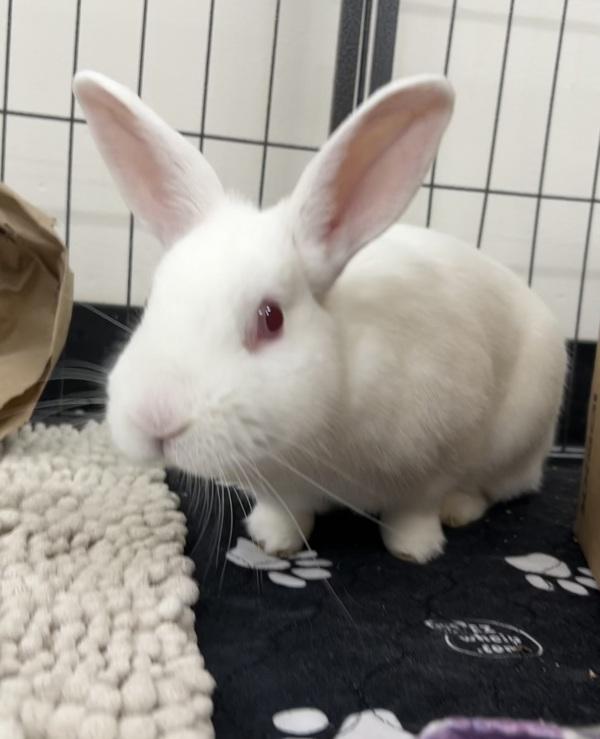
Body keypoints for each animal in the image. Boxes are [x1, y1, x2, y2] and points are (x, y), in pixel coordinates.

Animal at [73, 70, 567, 563]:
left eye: (271, 317)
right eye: (153, 298)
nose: (154, 419)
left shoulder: (440, 454)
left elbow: (414, 511)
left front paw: (414, 550)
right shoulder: (279, 486)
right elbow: (285, 512)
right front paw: (273, 542)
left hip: (519, 436)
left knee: (498, 487)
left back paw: (459, 509)